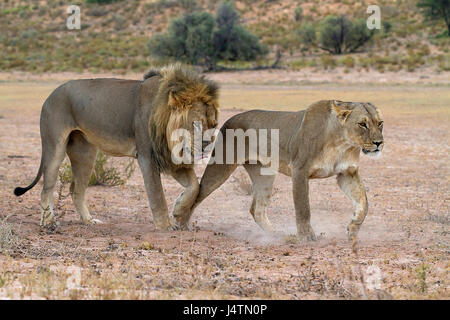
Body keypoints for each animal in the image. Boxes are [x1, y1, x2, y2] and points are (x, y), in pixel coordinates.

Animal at [13, 64, 218, 230]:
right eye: (196, 124)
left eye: (213, 125)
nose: (206, 146)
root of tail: (51, 93)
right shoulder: (147, 157)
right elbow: (157, 195)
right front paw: (165, 226)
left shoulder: (169, 158)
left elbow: (194, 186)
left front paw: (179, 210)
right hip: (55, 147)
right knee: (46, 187)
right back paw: (48, 222)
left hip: (85, 153)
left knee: (75, 189)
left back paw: (88, 221)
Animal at [188, 100, 384, 240]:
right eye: (362, 124)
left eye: (380, 123)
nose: (379, 143)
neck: (342, 142)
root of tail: (229, 119)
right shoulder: (299, 170)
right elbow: (303, 208)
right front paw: (306, 236)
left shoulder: (347, 173)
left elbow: (364, 203)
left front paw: (352, 228)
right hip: (220, 167)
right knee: (198, 194)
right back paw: (183, 226)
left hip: (264, 175)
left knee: (256, 209)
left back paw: (275, 234)